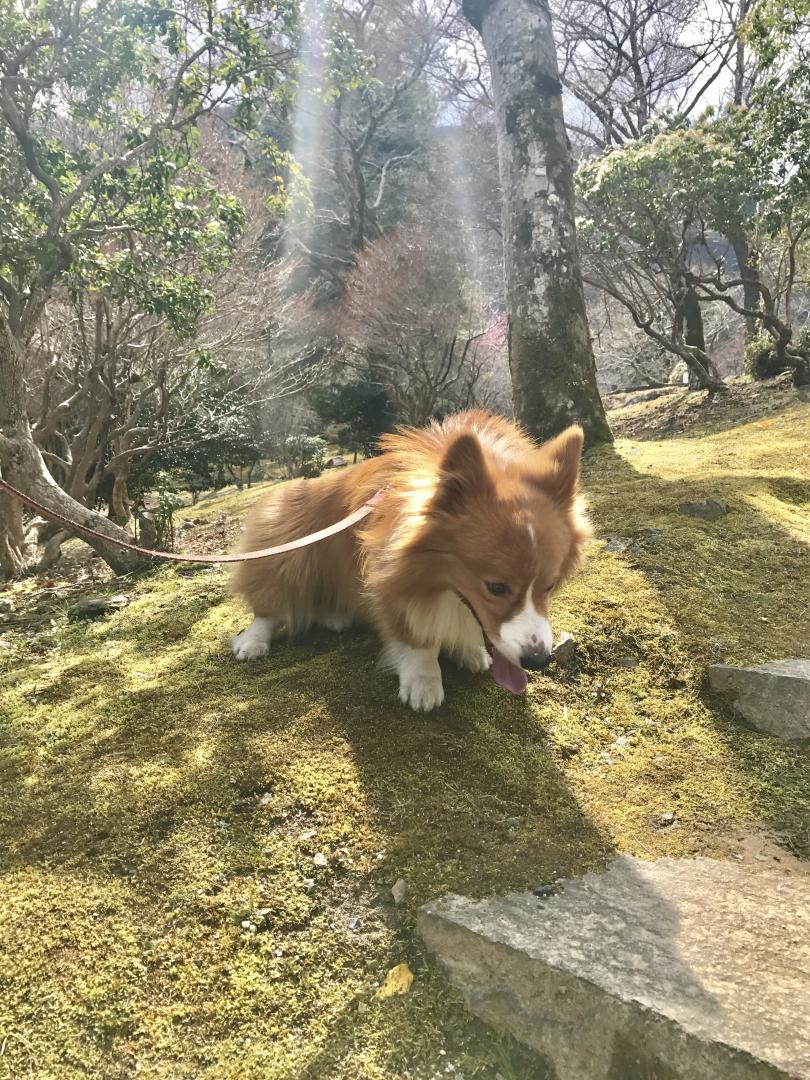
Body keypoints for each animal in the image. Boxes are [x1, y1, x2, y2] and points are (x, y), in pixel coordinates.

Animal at [230, 410, 591, 708]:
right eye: (496, 588)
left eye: (549, 586)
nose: (538, 661)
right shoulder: (389, 578)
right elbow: (418, 639)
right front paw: (423, 682)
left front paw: (469, 649)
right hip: (287, 548)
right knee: (269, 607)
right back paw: (253, 641)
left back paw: (337, 615)